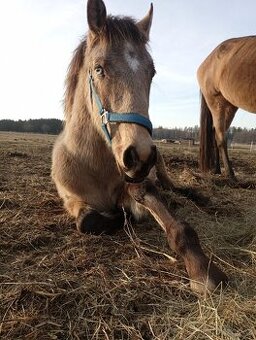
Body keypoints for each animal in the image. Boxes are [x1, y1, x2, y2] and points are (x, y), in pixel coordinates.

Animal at [198, 35, 256, 179]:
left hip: (230, 106)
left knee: (215, 133)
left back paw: (217, 169)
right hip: (216, 102)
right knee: (220, 137)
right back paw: (230, 173)